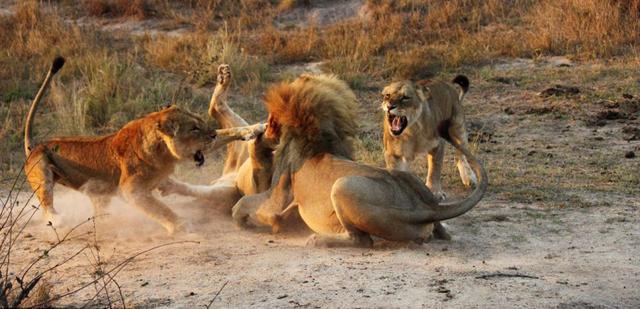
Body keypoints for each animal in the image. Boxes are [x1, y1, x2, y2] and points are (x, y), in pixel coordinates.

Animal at [24, 56, 264, 233]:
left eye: (201, 123)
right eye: (193, 128)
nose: (211, 135)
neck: (163, 152)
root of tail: (34, 147)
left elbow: (227, 132)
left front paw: (254, 129)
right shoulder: (131, 190)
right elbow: (160, 208)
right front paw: (181, 225)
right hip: (43, 172)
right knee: (47, 205)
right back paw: (60, 221)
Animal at [232, 73, 488, 247]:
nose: (264, 130)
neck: (315, 133)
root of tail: (425, 208)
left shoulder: (275, 199)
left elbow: (244, 204)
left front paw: (244, 219)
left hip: (342, 186)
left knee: (362, 240)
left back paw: (320, 239)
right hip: (404, 175)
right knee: (444, 233)